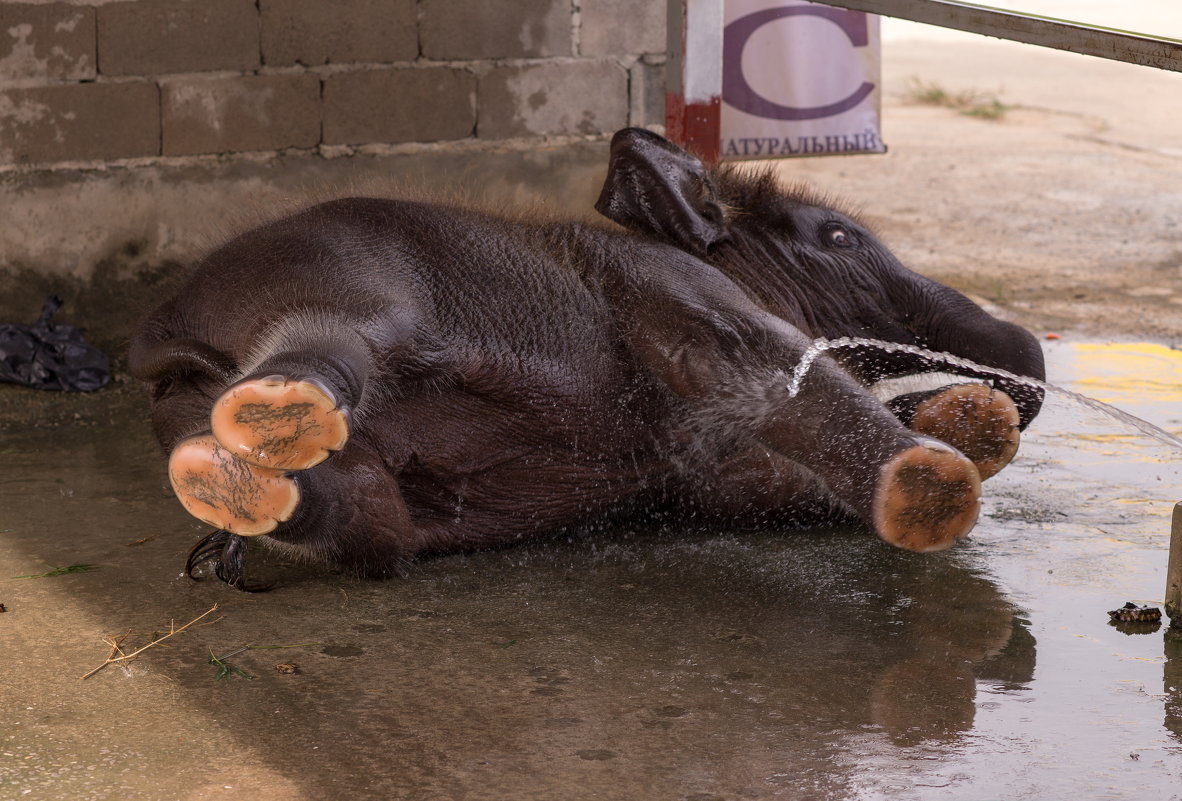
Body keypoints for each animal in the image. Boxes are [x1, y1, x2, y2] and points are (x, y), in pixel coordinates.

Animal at [131, 127, 1044, 590]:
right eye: (842, 237)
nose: (1025, 359)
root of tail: (164, 337)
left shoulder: (712, 475)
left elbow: (778, 487)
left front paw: (976, 422)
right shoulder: (668, 286)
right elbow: (746, 355)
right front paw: (936, 476)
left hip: (240, 430)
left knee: (362, 521)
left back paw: (226, 485)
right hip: (347, 281)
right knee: (341, 338)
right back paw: (279, 414)